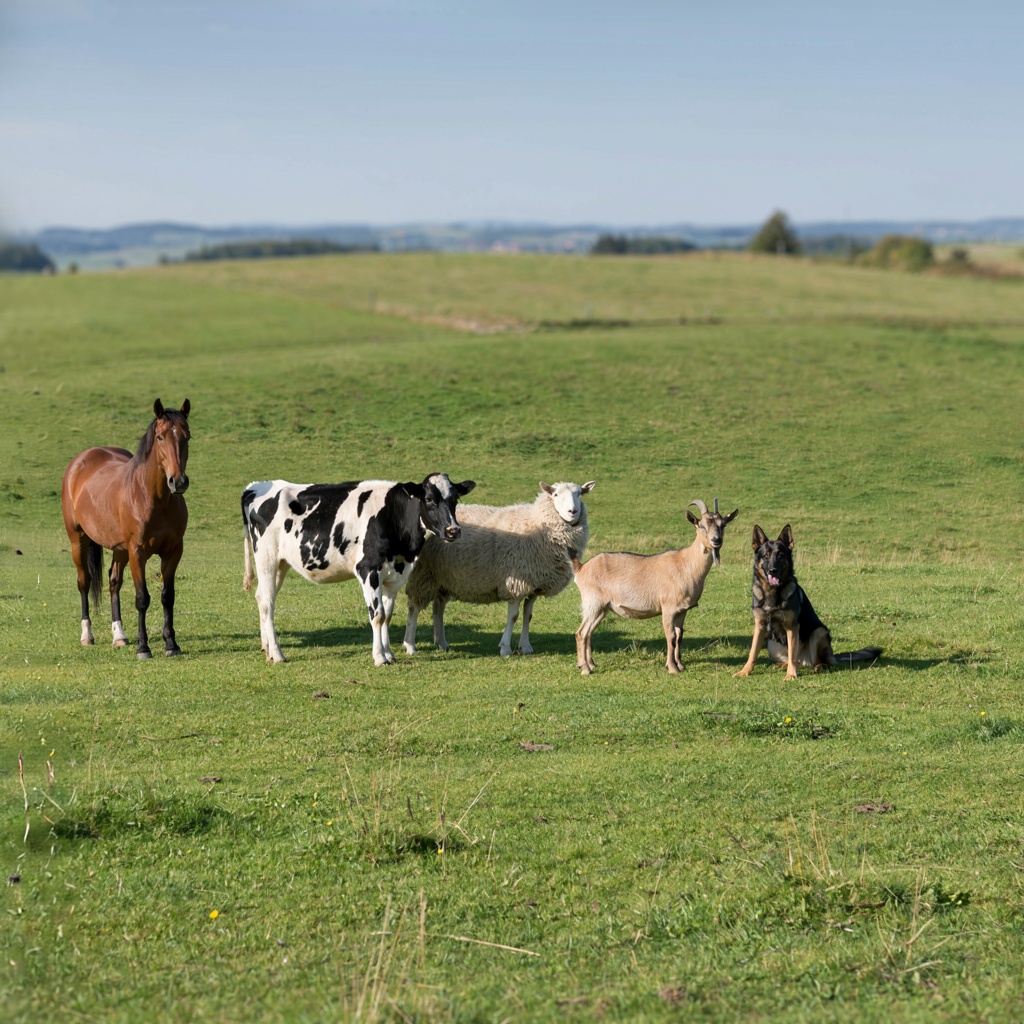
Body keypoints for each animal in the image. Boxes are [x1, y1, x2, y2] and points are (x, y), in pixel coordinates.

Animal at [61, 398, 192, 659]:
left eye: (187, 436)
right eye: (160, 437)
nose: (179, 482)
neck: (154, 498)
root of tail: (80, 461)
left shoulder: (173, 551)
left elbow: (167, 596)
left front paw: (171, 644)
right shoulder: (137, 552)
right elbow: (142, 598)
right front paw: (144, 648)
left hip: (119, 549)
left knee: (114, 584)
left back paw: (119, 636)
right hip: (78, 540)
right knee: (84, 582)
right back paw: (87, 635)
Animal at [242, 473, 475, 666]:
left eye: (455, 499)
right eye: (429, 499)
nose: (453, 530)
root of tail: (256, 486)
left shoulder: (395, 575)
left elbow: (388, 614)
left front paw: (389, 653)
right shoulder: (368, 569)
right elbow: (377, 615)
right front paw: (380, 657)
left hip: (281, 563)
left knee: (261, 597)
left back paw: (267, 648)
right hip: (266, 558)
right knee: (267, 603)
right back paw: (277, 654)